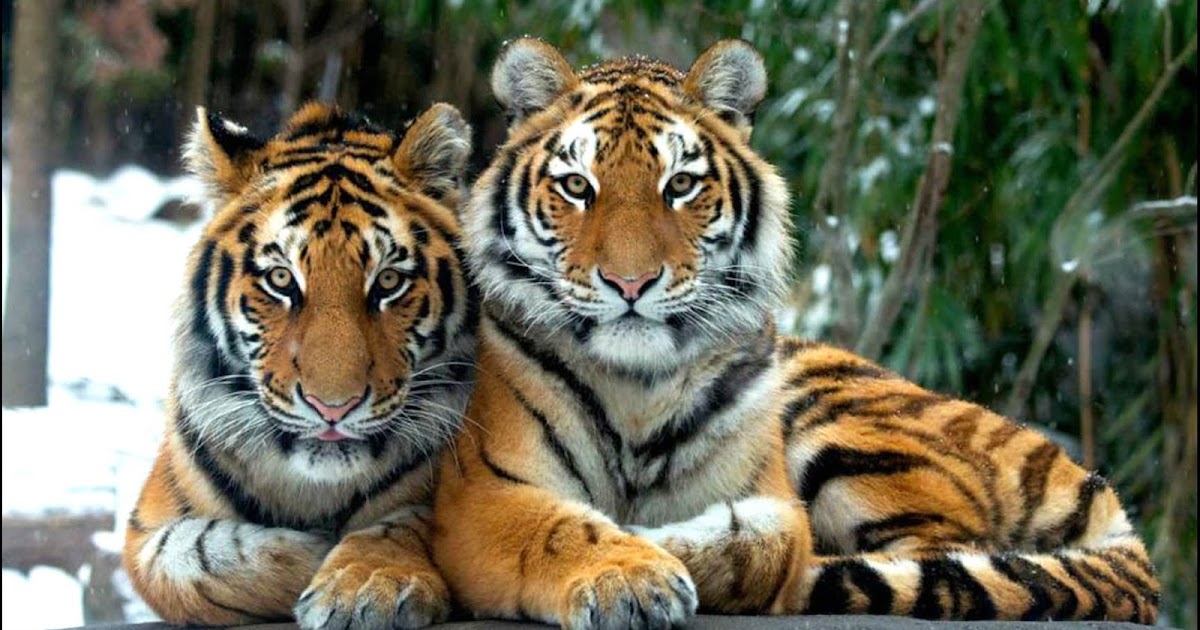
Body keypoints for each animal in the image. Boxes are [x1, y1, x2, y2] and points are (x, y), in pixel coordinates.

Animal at [122, 102, 477, 629]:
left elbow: (406, 522)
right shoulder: (146, 529)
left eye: (388, 281)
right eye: (280, 280)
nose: (333, 407)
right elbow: (194, 560)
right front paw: (323, 554)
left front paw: (366, 586)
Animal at [431, 37, 1160, 628]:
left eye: (681, 184)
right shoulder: (482, 490)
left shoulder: (767, 489)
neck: (637, 388)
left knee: (949, 563)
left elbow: (770, 543)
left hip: (847, 427)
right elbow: (556, 530)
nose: (630, 283)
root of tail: (1080, 475)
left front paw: (665, 549)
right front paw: (628, 577)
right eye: (577, 186)